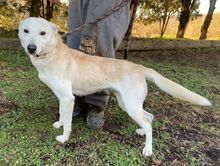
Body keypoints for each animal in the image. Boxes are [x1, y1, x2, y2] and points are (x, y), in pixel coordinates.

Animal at [18, 17, 211, 156]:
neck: (52, 53)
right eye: (25, 31)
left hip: (131, 106)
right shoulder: (62, 98)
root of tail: (141, 68)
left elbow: (68, 124)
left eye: (43, 33)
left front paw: (64, 138)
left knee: (149, 125)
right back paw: (141, 131)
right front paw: (59, 123)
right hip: (127, 104)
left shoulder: (68, 98)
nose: (31, 48)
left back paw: (148, 149)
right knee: (149, 117)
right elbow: (62, 115)